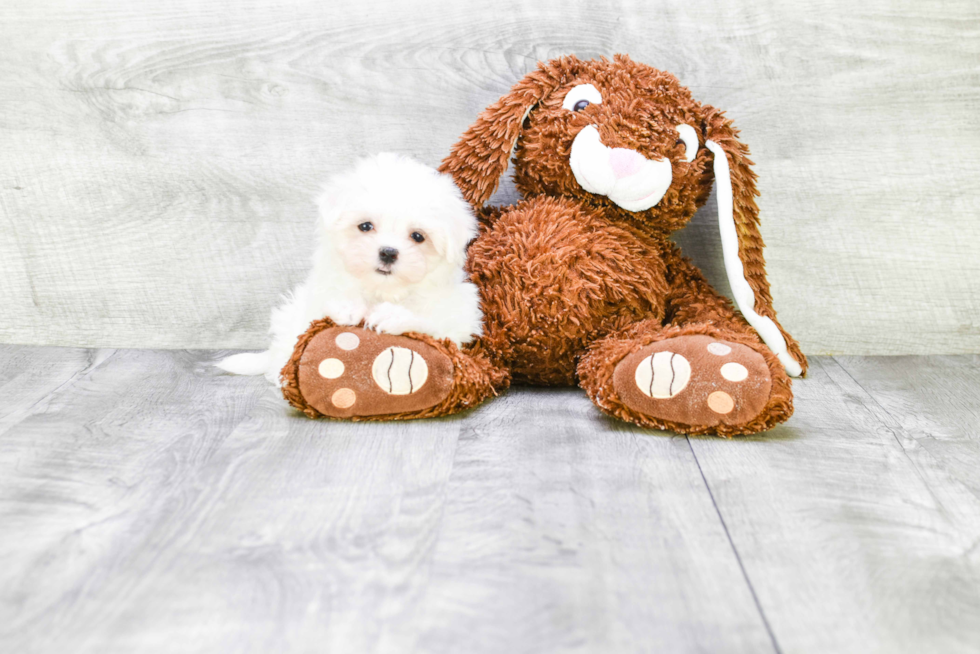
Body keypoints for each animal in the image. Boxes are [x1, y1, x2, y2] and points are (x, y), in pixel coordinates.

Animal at [220, 154, 484, 386]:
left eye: (418, 236)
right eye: (365, 226)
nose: (388, 252)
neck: (383, 291)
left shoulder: (458, 320)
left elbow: (437, 329)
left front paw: (394, 316)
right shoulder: (317, 297)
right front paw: (347, 306)